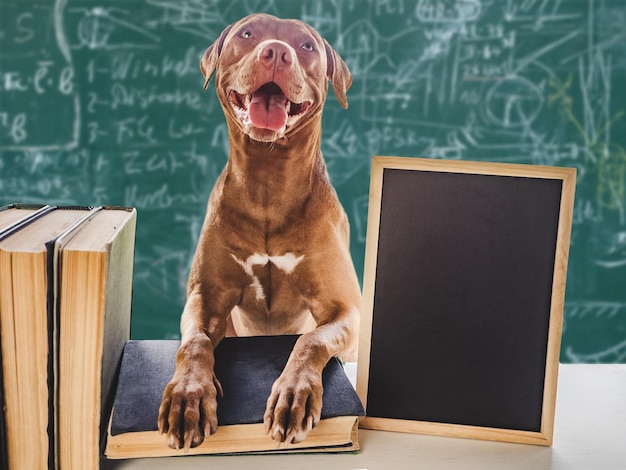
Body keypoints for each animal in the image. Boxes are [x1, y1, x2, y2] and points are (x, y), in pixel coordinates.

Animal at [156, 12, 358, 450]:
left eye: (306, 46)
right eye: (248, 33)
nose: (277, 52)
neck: (269, 181)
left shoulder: (345, 308)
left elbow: (310, 340)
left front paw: (294, 393)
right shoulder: (206, 296)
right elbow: (194, 343)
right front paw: (188, 394)